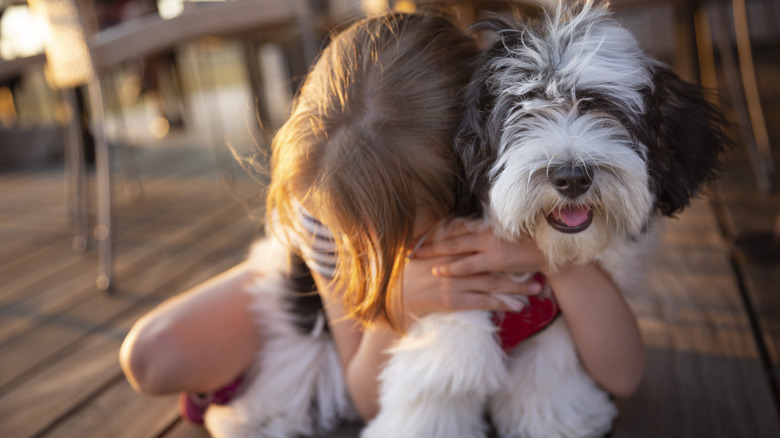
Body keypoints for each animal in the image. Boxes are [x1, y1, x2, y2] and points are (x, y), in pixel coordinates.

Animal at [362, 0, 728, 438]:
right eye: (522, 113)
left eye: (602, 109)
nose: (571, 177)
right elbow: (445, 377)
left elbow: (544, 375)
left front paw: (554, 419)